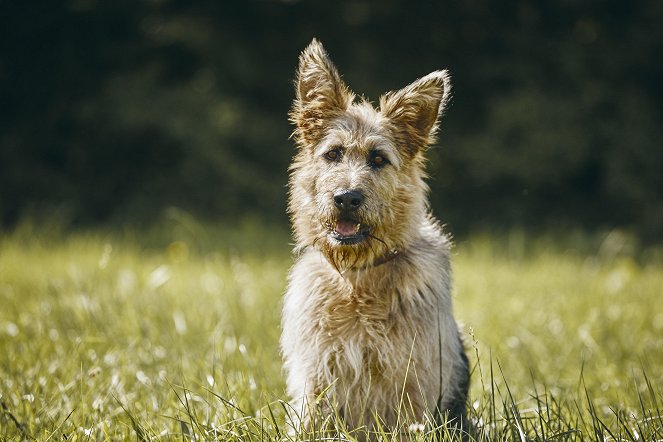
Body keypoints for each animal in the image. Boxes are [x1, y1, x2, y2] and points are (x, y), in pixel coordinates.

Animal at [280, 38, 472, 438]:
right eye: (333, 154)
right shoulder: (317, 375)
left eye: (379, 159)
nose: (347, 198)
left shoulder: (414, 377)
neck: (358, 279)